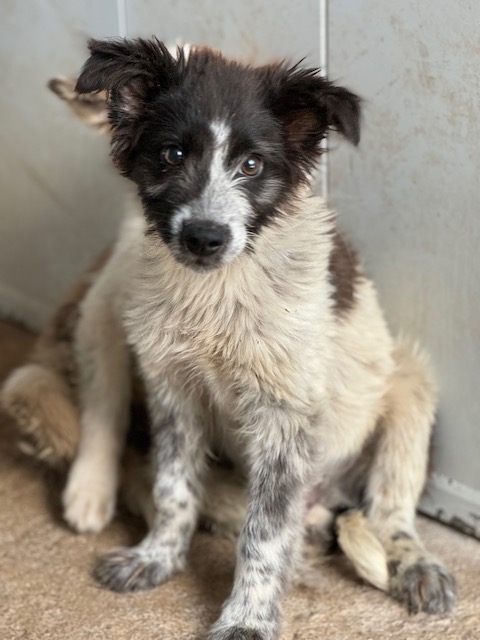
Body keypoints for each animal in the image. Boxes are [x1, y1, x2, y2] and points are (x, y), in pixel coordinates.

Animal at [2, 38, 455, 640]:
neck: (216, 293)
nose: (204, 238)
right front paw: (157, 558)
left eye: (252, 165)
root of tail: (329, 500)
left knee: (390, 510)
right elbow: (173, 489)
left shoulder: (284, 418)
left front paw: (247, 620)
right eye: (172, 155)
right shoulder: (174, 391)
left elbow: (264, 535)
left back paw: (417, 565)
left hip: (407, 385)